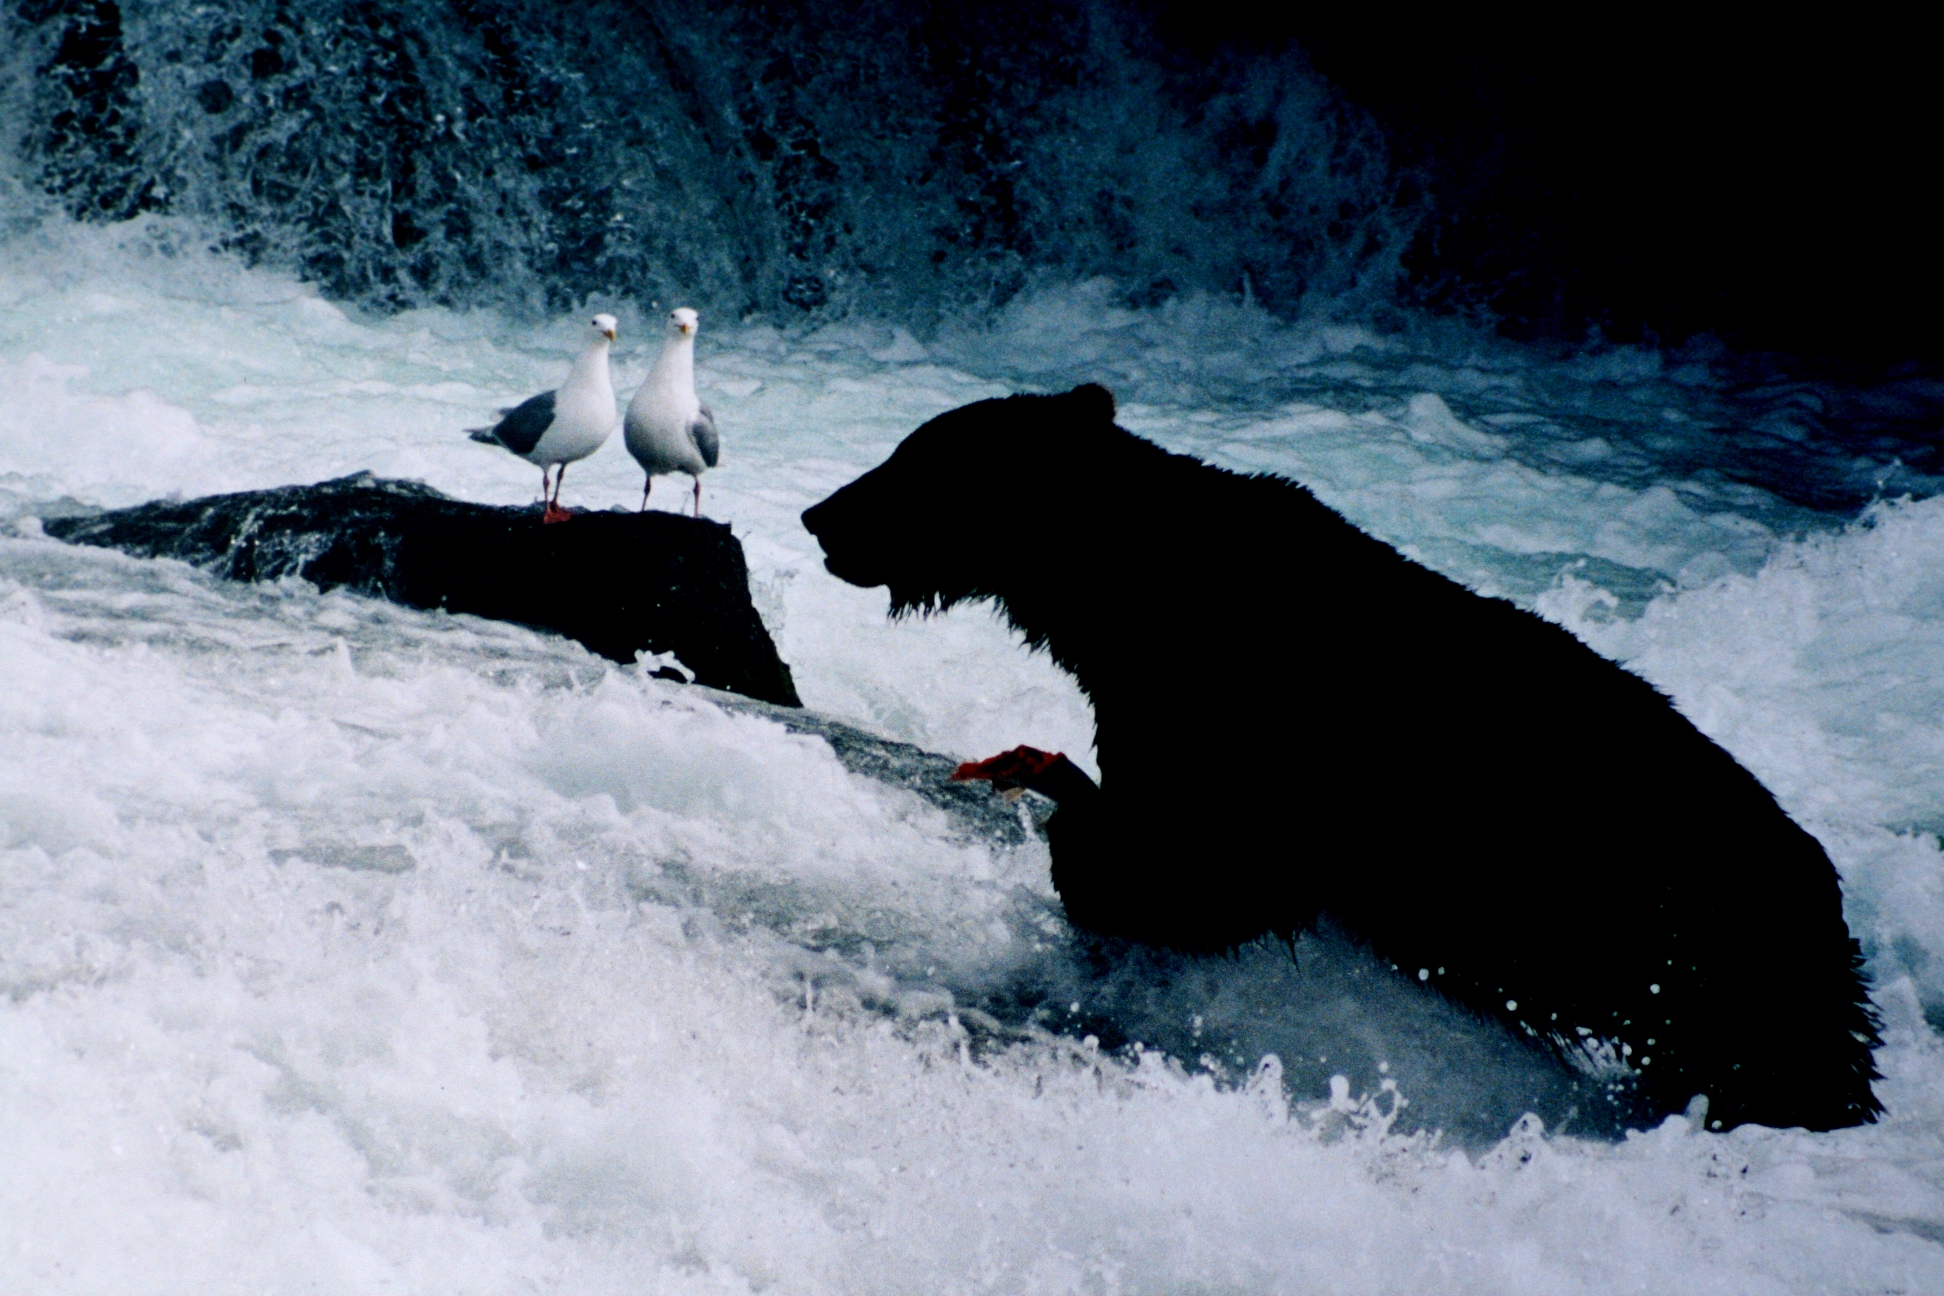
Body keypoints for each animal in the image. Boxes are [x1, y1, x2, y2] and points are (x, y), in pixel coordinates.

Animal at [804, 380, 1881, 1126]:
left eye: (911, 459)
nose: (821, 514)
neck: (1133, 592)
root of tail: (1822, 890)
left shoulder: (1251, 721)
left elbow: (1206, 870)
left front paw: (1080, 831)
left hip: (1698, 967)